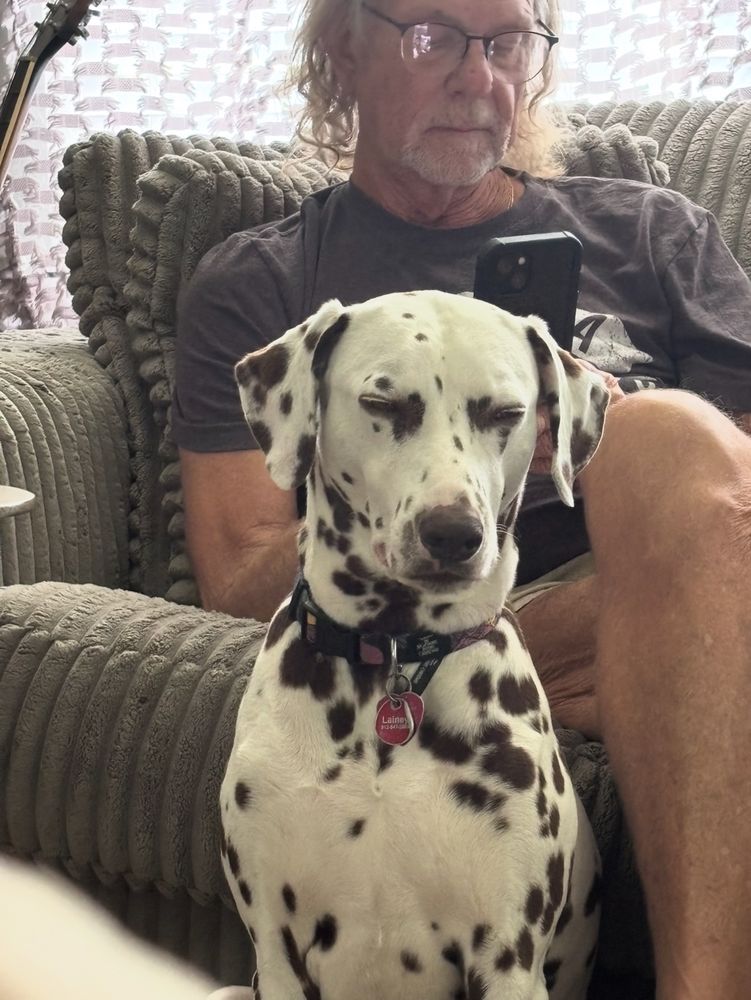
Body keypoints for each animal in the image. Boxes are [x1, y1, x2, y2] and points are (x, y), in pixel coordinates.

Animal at [220, 289, 609, 1000]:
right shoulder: (274, 950)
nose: (453, 533)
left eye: (507, 413)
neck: (395, 657)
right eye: (383, 402)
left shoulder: (509, 958)